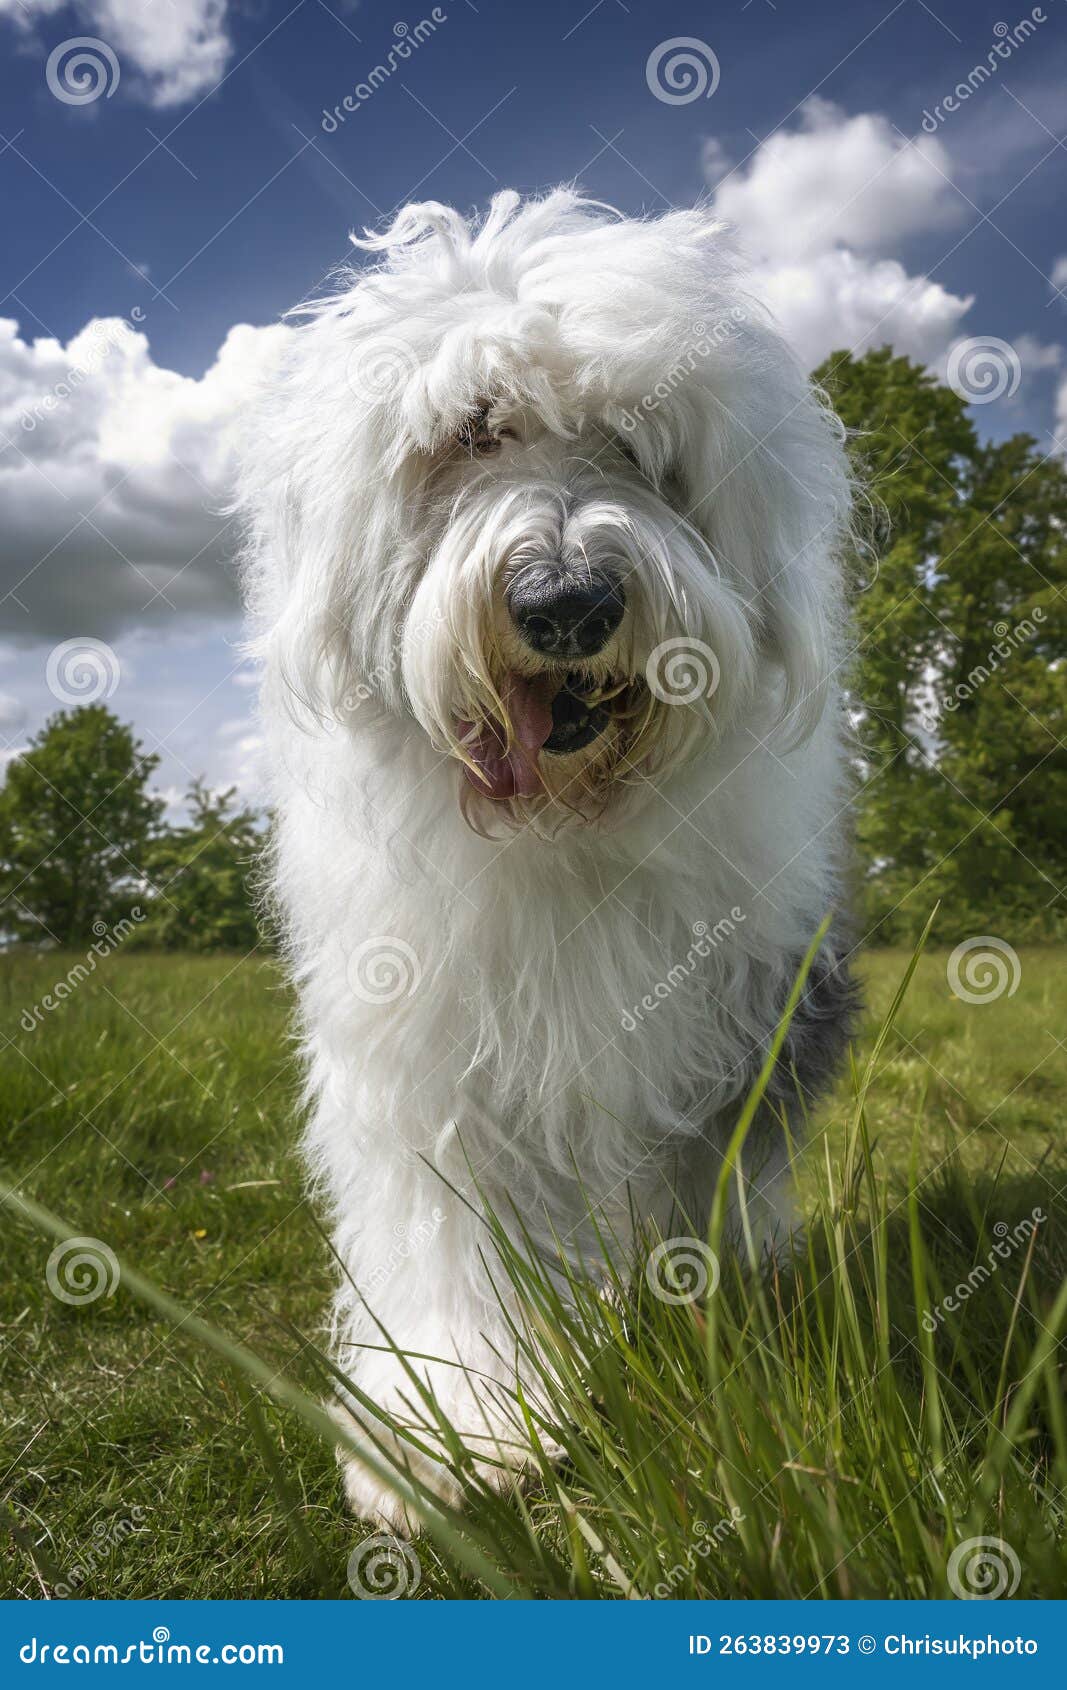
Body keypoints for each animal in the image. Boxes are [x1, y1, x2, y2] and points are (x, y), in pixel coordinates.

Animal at [235, 191, 859, 1527]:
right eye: (471, 432)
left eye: (631, 439)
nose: (567, 602)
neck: (560, 829)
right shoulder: (430, 1056)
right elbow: (447, 1236)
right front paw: (457, 1422)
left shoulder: (720, 1037)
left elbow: (694, 1195)